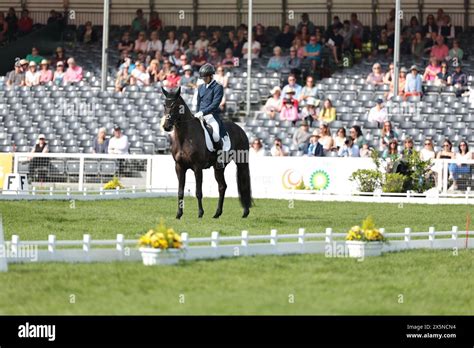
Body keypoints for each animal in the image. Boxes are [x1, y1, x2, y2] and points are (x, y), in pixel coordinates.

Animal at [161, 86, 252, 218]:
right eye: (164, 105)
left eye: (175, 106)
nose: (166, 126)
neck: (185, 137)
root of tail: (240, 129)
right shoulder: (179, 167)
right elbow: (180, 191)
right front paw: (179, 214)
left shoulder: (197, 167)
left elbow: (198, 192)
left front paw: (200, 213)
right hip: (218, 168)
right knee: (222, 186)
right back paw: (217, 213)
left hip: (242, 163)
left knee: (243, 183)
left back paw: (245, 212)